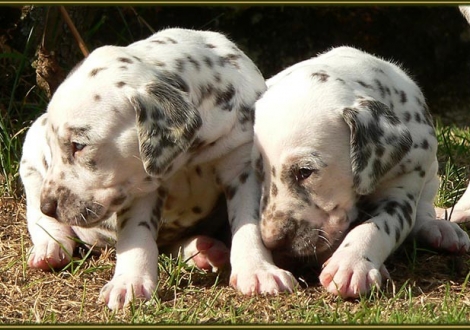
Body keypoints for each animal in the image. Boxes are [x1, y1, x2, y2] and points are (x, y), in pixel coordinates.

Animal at [21, 27, 298, 310]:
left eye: (78, 145)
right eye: (57, 145)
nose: (49, 206)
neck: (189, 156)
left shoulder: (243, 165)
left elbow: (248, 222)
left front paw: (258, 271)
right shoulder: (140, 188)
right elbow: (136, 233)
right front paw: (129, 283)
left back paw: (204, 249)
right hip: (31, 152)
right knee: (36, 214)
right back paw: (49, 248)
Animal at [253, 45, 470, 300]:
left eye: (305, 171)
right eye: (257, 173)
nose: (273, 242)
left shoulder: (401, 191)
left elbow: (378, 227)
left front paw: (351, 263)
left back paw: (440, 228)